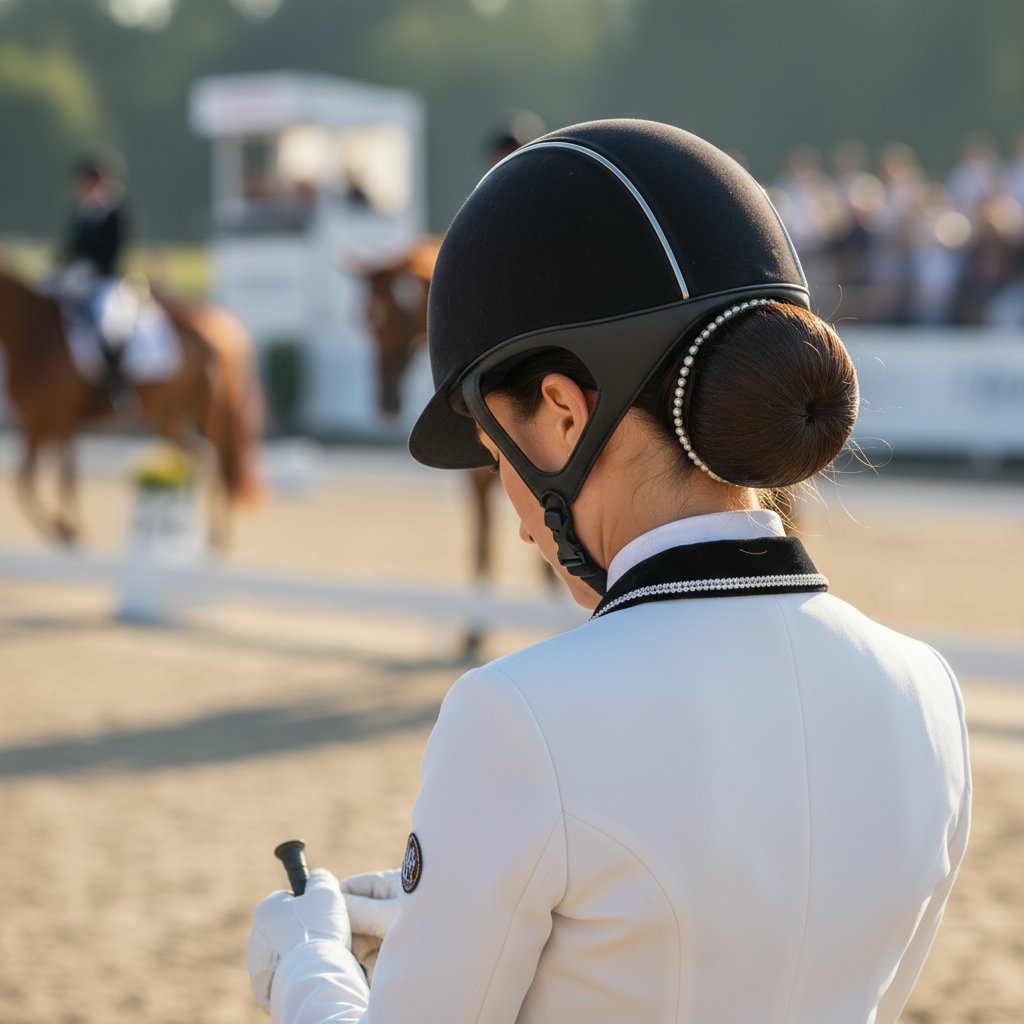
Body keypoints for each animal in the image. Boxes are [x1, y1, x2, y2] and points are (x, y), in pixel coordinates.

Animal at [0, 265, 262, 546]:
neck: (33, 331)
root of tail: (203, 338)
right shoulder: (35, 422)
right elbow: (25, 481)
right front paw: (62, 529)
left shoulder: (61, 418)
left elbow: (65, 477)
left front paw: (69, 530)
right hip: (171, 419)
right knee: (200, 460)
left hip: (195, 414)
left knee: (210, 460)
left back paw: (210, 535)